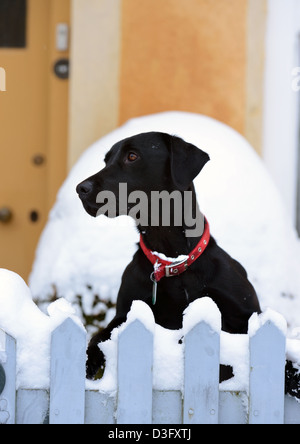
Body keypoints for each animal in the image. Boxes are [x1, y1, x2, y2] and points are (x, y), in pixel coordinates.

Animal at [77, 132, 262, 382]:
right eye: (106, 160)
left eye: (132, 156)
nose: (80, 189)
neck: (172, 261)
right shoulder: (123, 314)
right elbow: (98, 338)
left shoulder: (246, 314)